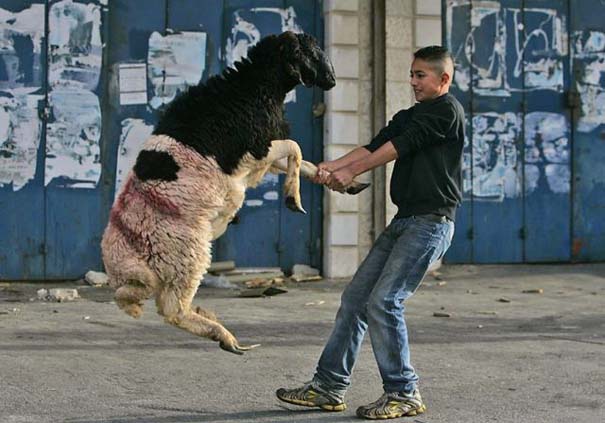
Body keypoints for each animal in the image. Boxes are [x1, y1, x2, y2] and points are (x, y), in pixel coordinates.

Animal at [101, 31, 368, 355]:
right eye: (311, 51)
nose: (332, 79)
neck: (255, 82)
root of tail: (123, 261)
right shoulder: (258, 148)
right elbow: (296, 149)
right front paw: (292, 198)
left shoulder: (264, 151)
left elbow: (305, 163)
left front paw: (345, 182)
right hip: (187, 257)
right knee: (173, 310)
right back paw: (224, 336)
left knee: (169, 307)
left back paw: (213, 324)